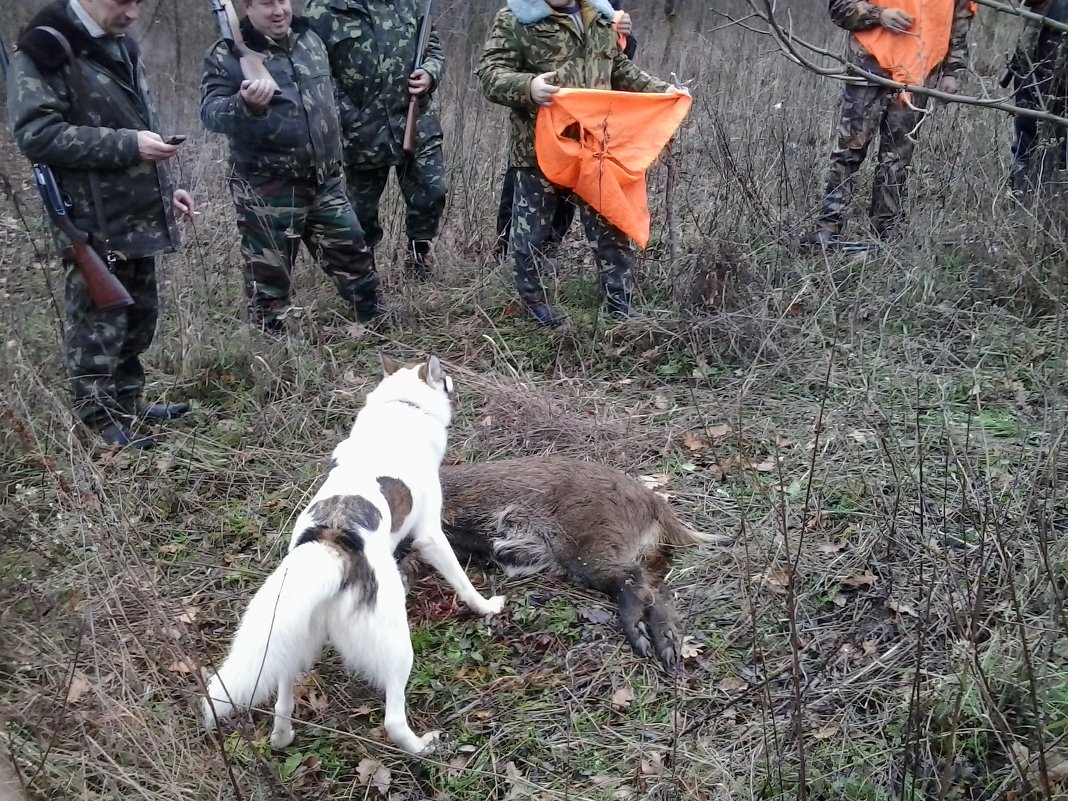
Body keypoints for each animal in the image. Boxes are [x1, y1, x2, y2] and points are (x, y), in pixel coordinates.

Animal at [201, 354, 506, 756]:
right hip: (397, 645)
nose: (455, 380)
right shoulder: (430, 535)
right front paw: (485, 606)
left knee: (283, 700)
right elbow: (462, 581)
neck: (400, 405)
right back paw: (423, 746)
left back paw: (282, 737)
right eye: (445, 378)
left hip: (293, 637)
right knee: (393, 720)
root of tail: (332, 546)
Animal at [433, 457, 726, 670]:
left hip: (588, 544)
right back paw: (668, 652)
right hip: (644, 555)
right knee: (657, 593)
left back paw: (642, 643)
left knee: (629, 579)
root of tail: (654, 502)